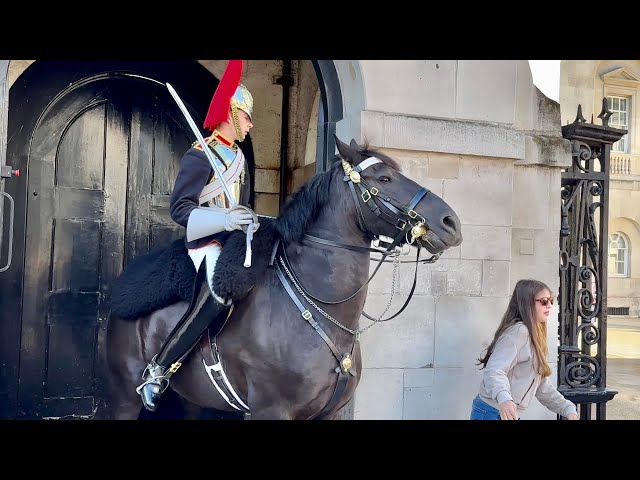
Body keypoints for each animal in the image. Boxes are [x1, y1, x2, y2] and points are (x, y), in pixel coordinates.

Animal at [107, 136, 462, 420]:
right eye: (384, 178)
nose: (451, 222)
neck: (323, 309)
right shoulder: (270, 410)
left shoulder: (328, 414)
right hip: (125, 395)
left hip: (191, 399)